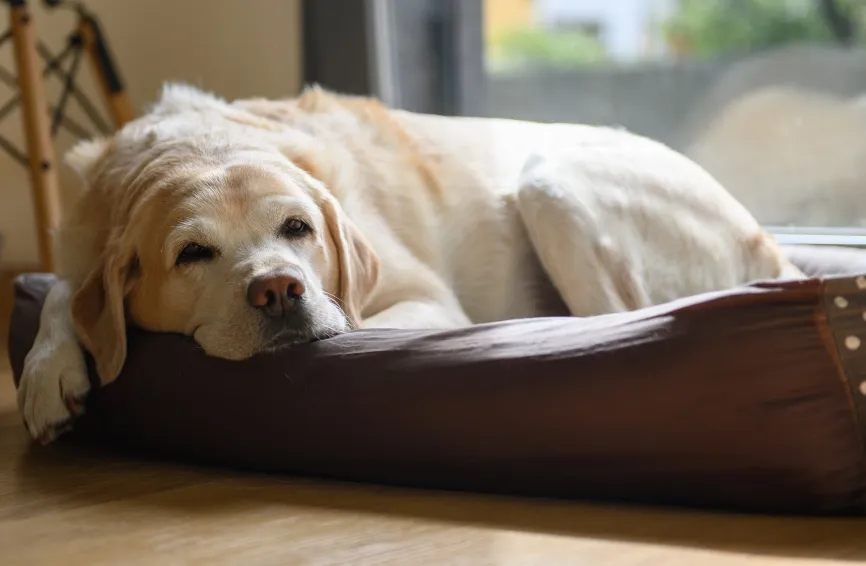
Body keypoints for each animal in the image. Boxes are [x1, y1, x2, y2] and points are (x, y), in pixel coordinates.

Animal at [16, 85, 800, 444]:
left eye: (297, 228)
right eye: (192, 254)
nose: (279, 289)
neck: (200, 143)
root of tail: (775, 248)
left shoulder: (419, 297)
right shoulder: (83, 245)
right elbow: (61, 292)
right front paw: (48, 373)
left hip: (551, 182)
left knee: (621, 319)